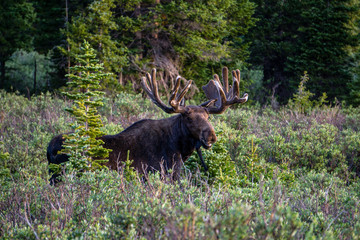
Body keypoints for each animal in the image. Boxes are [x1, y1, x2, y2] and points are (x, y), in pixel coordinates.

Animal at [47, 66, 248, 182]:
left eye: (208, 117)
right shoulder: (162, 173)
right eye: (189, 118)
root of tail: (50, 149)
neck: (179, 148)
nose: (211, 137)